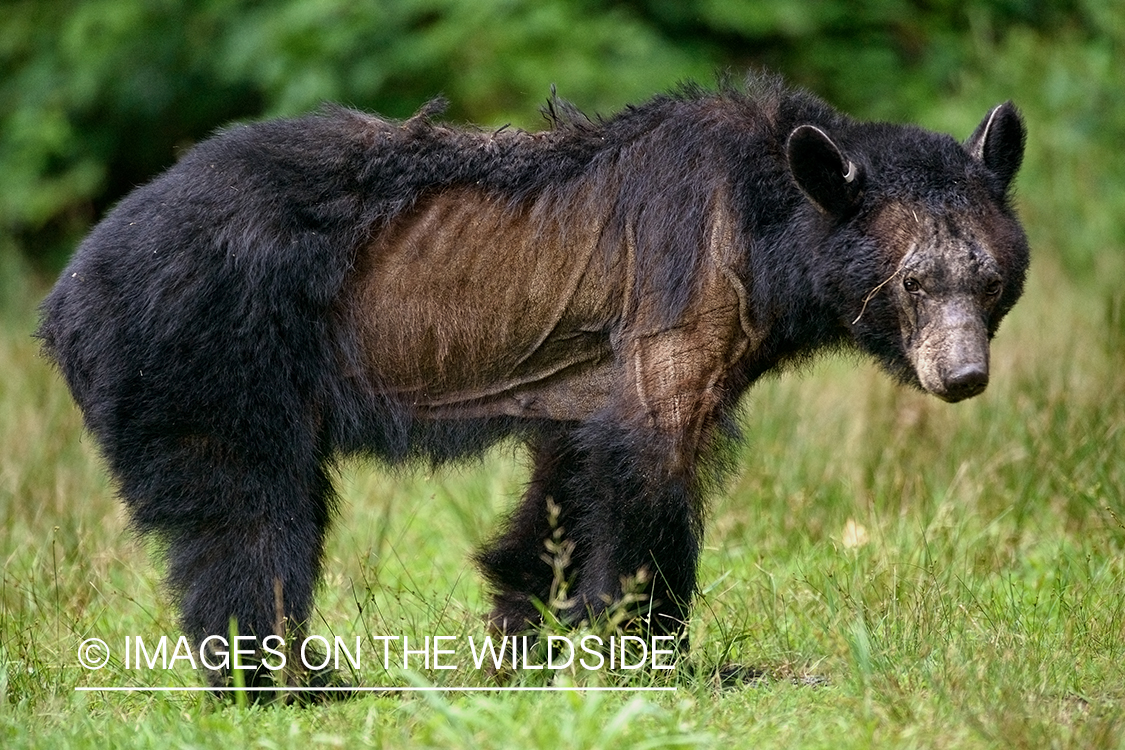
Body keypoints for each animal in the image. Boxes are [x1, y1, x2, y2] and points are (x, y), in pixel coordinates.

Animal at [39, 74, 1030, 692]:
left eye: (989, 279)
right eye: (912, 280)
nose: (962, 375)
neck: (762, 222)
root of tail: (62, 297)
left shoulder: (580, 385)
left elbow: (559, 497)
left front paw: (523, 644)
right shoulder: (679, 289)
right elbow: (650, 468)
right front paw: (665, 657)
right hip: (202, 353)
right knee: (245, 523)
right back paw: (291, 683)